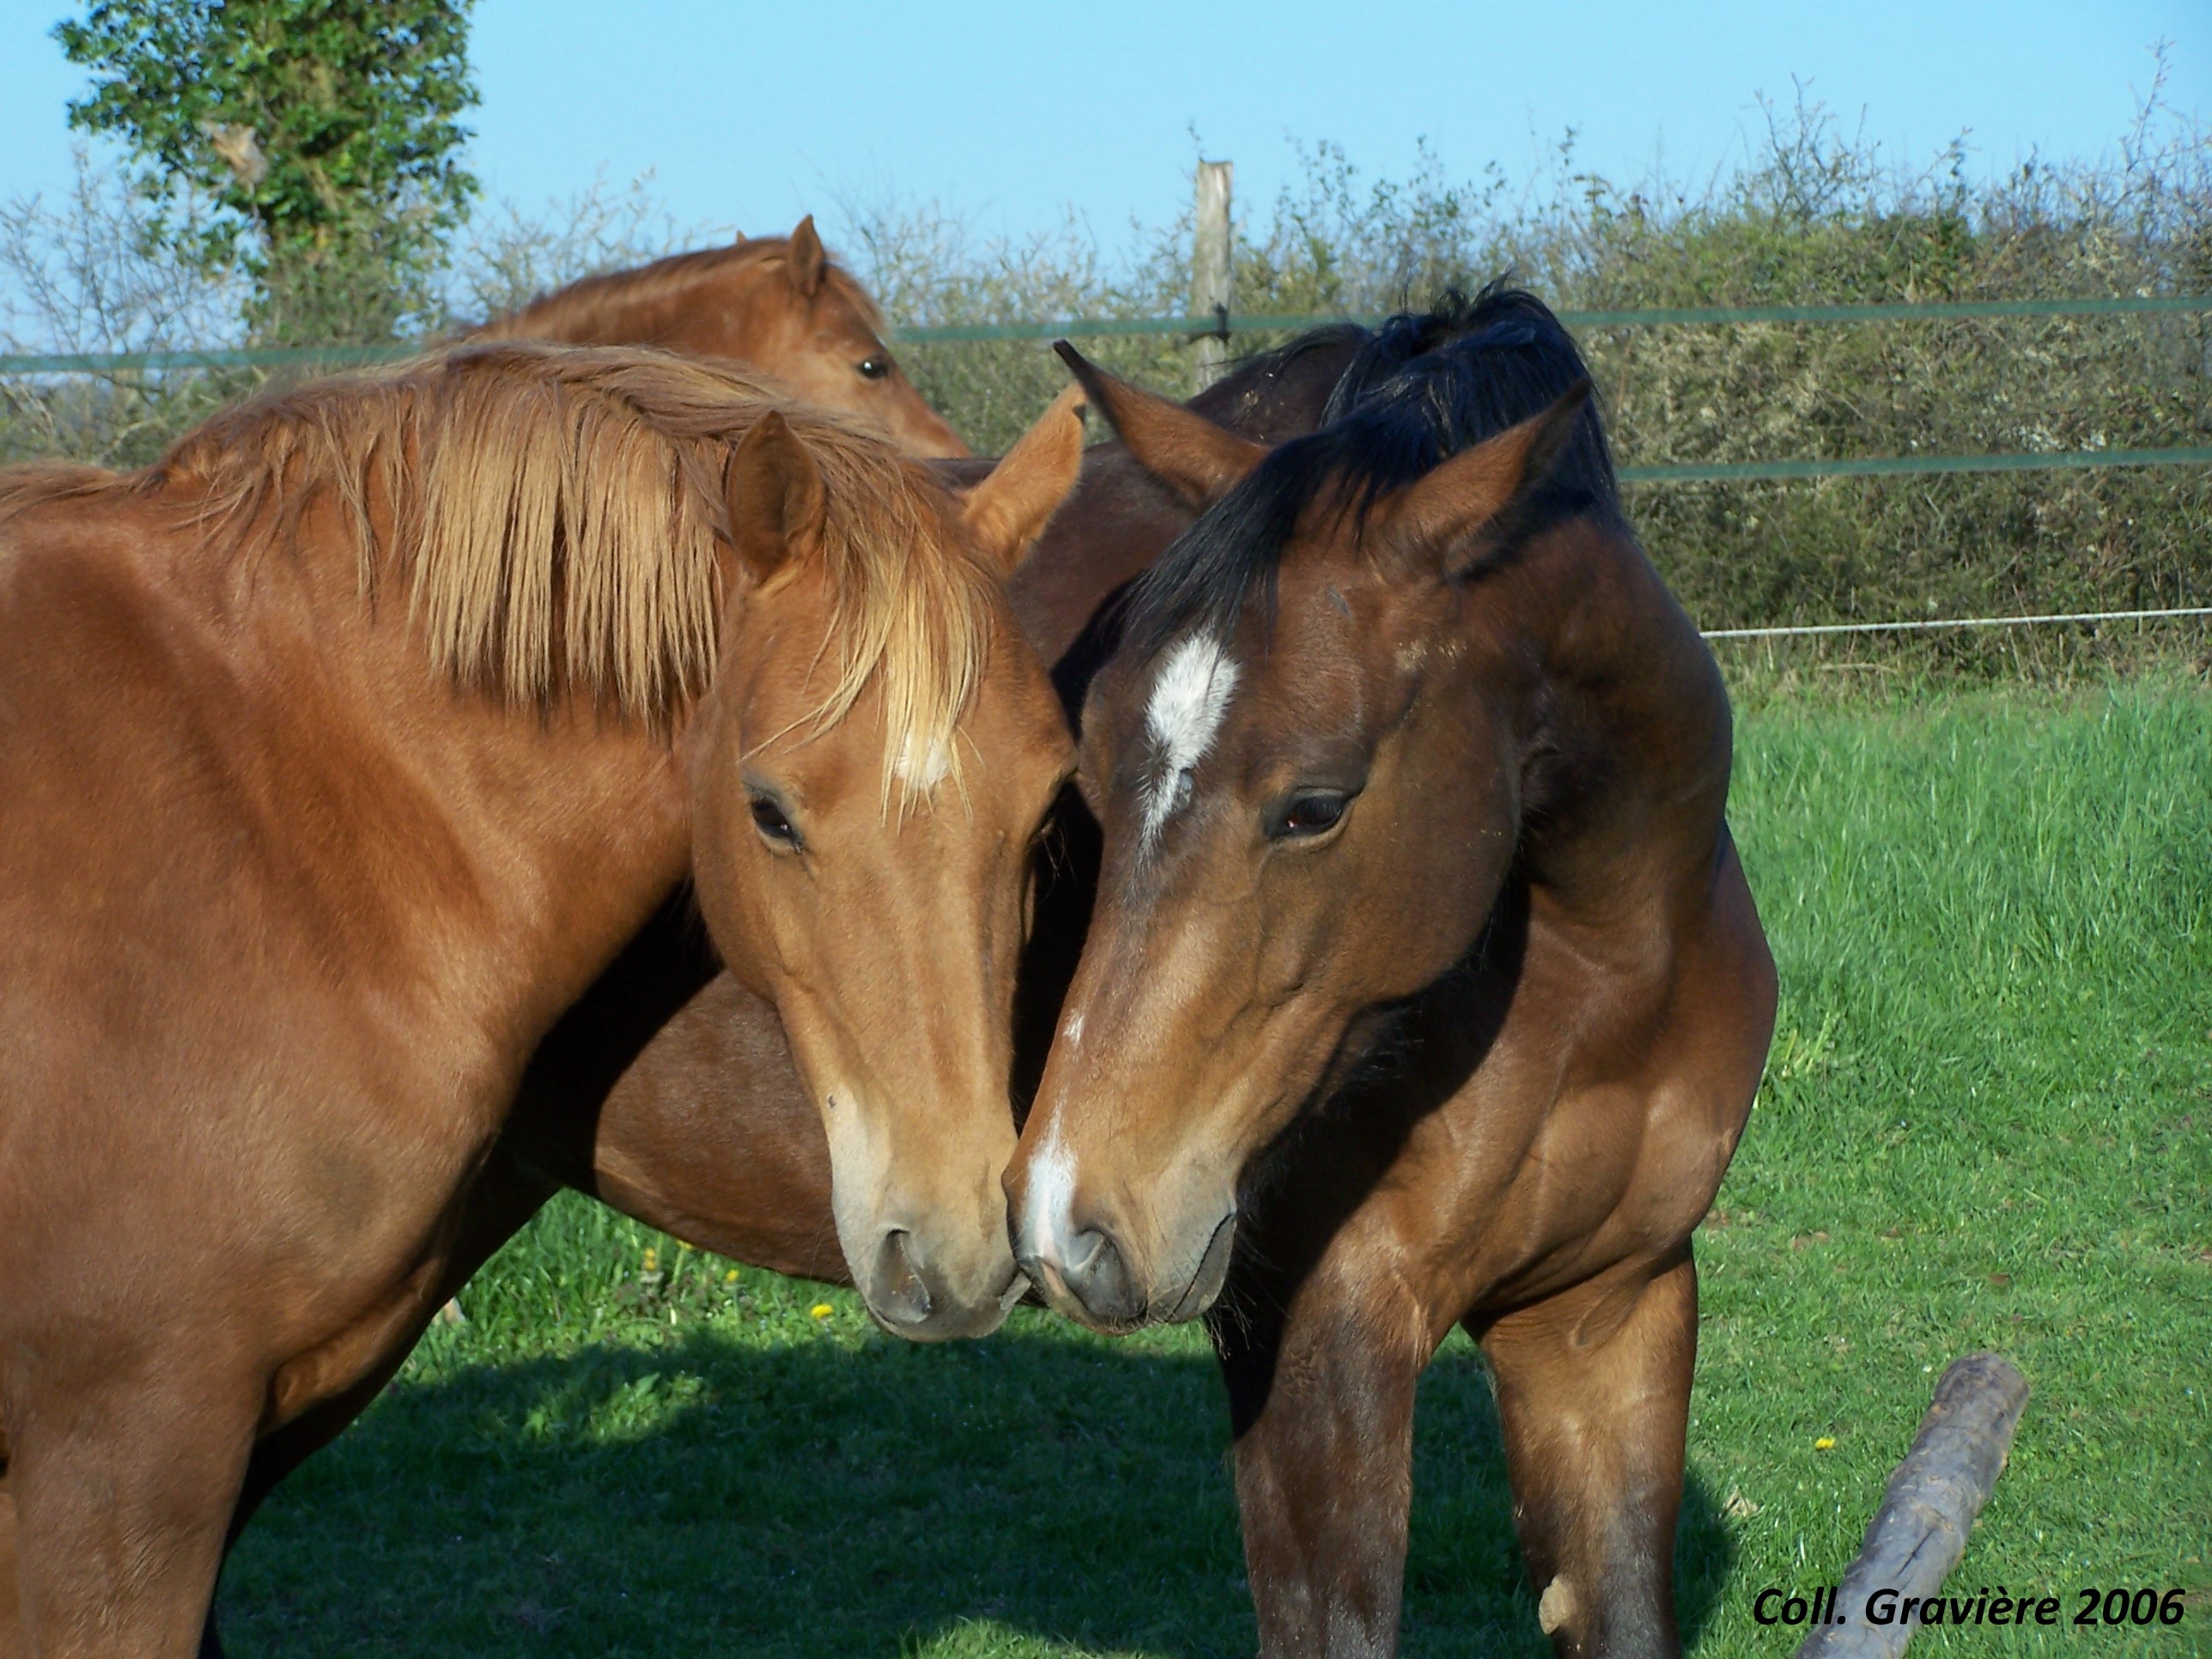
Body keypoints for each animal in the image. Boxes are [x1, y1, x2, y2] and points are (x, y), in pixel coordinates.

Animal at [1004, 292, 1778, 1654]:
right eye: (1085, 783)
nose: (1067, 1224)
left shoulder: (1607, 1308)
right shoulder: (1319, 1340)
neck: (1605, 981)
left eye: (1314, 807)